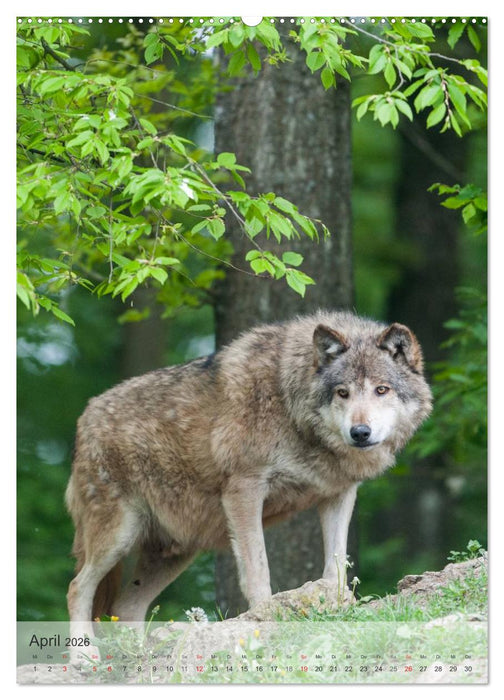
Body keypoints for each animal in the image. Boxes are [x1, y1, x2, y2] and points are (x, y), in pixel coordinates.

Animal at [66, 310, 432, 641]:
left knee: (125, 608)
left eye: (381, 390)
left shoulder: (338, 494)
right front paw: (263, 615)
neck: (290, 405)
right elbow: (258, 567)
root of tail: (84, 418)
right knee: (77, 588)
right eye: (343, 392)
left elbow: (337, 564)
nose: (359, 432)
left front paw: (338, 603)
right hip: (119, 537)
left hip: (174, 552)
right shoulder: (244, 489)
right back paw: (85, 655)